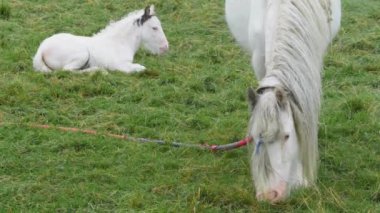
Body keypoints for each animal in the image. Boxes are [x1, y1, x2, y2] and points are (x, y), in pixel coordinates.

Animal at [32, 5, 169, 73]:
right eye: (154, 28)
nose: (165, 47)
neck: (120, 44)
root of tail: (42, 49)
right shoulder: (120, 65)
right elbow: (140, 69)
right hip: (83, 54)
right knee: (66, 70)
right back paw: (98, 70)